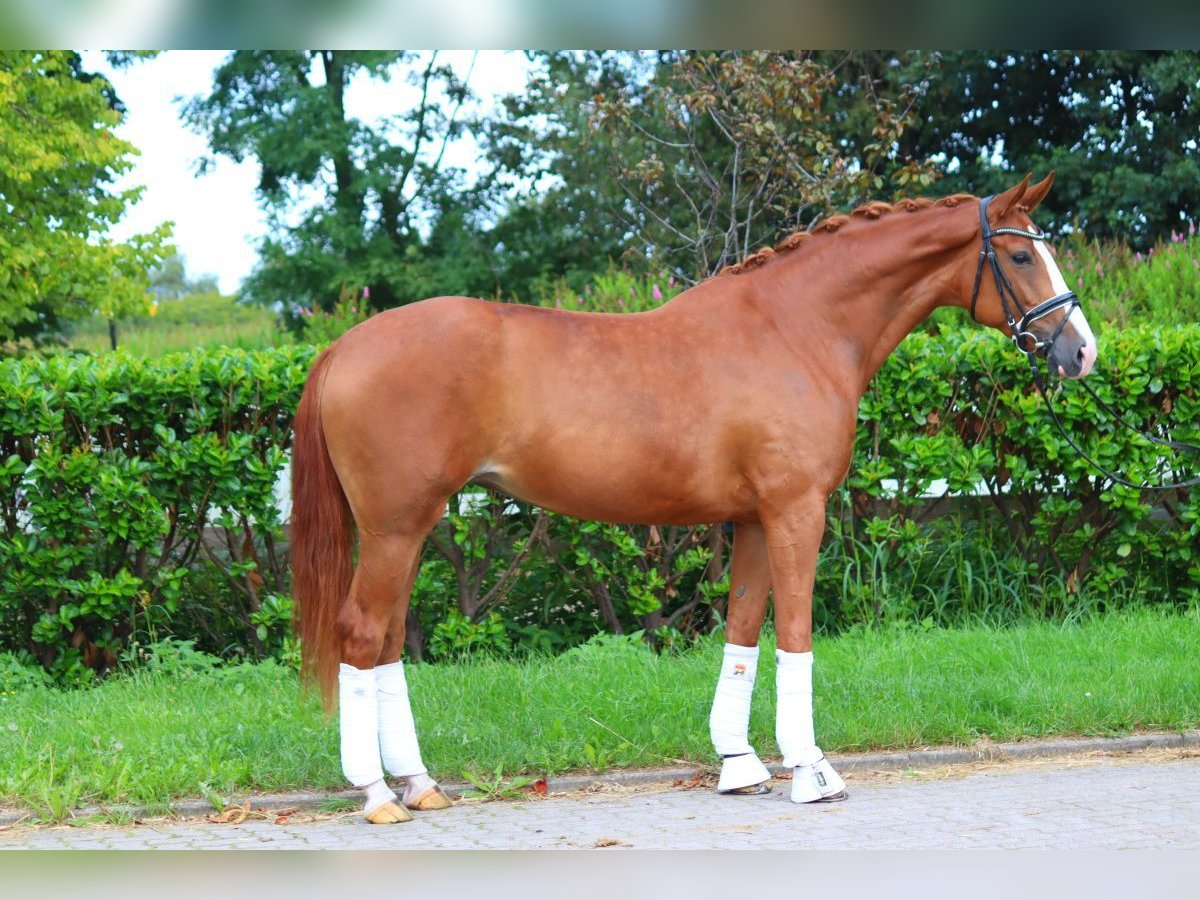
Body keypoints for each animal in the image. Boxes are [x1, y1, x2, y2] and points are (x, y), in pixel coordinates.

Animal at [290, 170, 1099, 825]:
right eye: (1021, 256)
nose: (1082, 351)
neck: (796, 330)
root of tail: (344, 347)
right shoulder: (796, 512)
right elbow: (796, 634)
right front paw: (811, 771)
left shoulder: (753, 519)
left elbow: (742, 633)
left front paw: (739, 767)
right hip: (396, 527)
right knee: (361, 635)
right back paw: (376, 795)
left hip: (410, 529)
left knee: (386, 641)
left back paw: (419, 784)